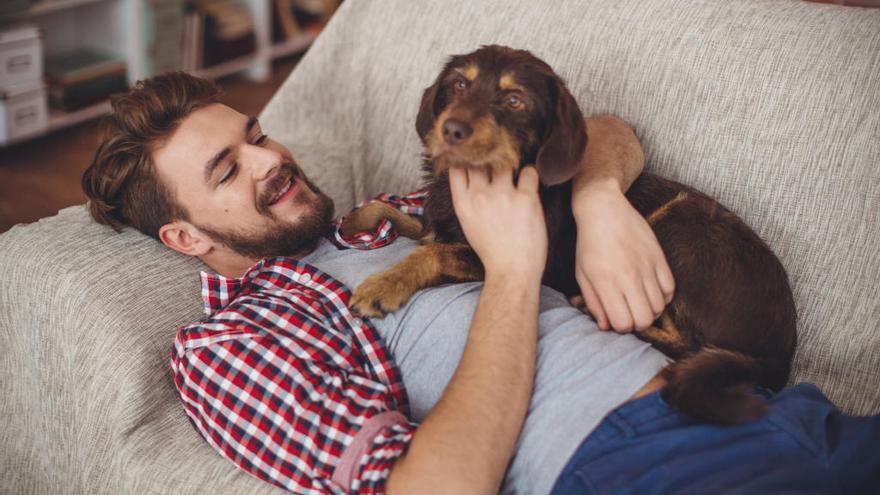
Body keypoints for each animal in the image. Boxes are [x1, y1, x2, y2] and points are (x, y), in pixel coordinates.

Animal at [342, 46, 796, 426]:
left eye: (514, 100)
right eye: (459, 84)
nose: (450, 129)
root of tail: (781, 351)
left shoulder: (505, 259)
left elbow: (431, 253)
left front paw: (383, 285)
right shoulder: (434, 223)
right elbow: (400, 216)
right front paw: (354, 220)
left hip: (679, 223)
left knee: (688, 344)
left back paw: (591, 307)